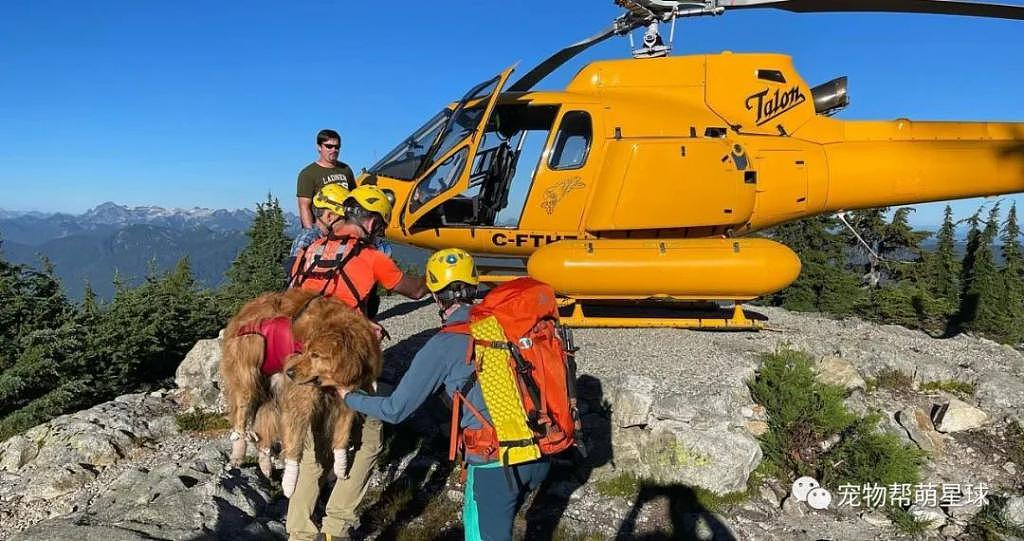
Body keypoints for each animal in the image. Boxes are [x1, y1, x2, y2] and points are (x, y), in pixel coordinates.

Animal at [220, 288, 380, 475]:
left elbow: (344, 426)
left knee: (265, 421)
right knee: (242, 410)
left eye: (315, 355)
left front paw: (340, 464)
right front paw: (291, 473)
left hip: (272, 389)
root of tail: (244, 310)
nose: (289, 372)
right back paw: (239, 450)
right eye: (305, 351)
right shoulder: (300, 394)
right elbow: (296, 426)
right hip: (248, 367)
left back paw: (265, 463)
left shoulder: (346, 394)